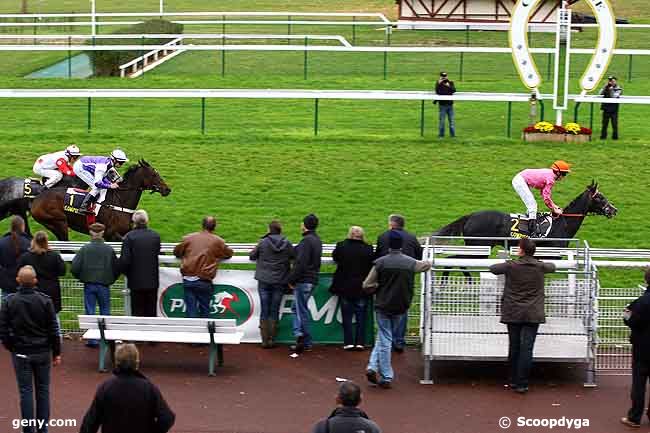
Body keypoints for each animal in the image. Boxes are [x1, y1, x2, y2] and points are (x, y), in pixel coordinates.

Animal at [29, 159, 172, 241]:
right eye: (153, 174)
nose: (167, 189)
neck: (120, 201)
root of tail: (37, 198)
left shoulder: (127, 231)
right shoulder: (111, 234)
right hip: (58, 223)